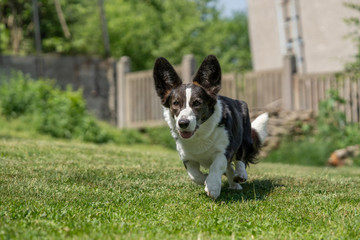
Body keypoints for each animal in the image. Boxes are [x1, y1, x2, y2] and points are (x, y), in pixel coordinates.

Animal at [152, 55, 268, 200]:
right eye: (175, 103)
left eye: (197, 103)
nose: (183, 123)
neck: (199, 135)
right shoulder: (187, 158)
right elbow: (194, 175)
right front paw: (205, 180)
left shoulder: (224, 150)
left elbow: (217, 166)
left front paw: (212, 186)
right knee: (229, 167)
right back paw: (234, 183)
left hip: (245, 137)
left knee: (241, 157)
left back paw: (240, 175)